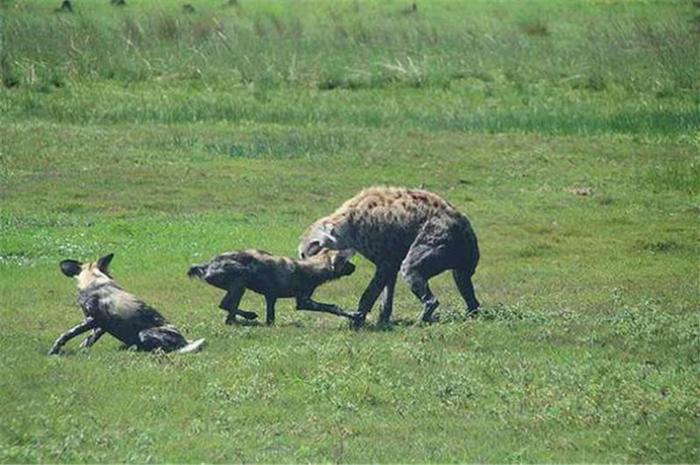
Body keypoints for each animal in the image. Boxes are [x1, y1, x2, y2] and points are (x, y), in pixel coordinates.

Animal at [50, 252, 205, 354]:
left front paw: (54, 350)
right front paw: (82, 351)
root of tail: (185, 341)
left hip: (144, 334)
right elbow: (88, 340)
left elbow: (66, 334)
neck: (93, 281)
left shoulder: (91, 320)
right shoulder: (100, 325)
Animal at [187, 248, 356, 324]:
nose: (355, 267)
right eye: (347, 262)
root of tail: (209, 264)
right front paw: (353, 314)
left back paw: (248, 317)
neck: (312, 267)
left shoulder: (271, 297)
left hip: (237, 286)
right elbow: (333, 307)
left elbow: (271, 317)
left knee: (225, 306)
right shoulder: (304, 302)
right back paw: (245, 319)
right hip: (240, 282)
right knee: (228, 312)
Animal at [298, 186, 478, 326]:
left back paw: (418, 323)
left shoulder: (385, 256)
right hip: (460, 262)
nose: (304, 271)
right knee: (466, 289)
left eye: (308, 251)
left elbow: (370, 293)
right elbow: (386, 294)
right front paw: (382, 320)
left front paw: (357, 321)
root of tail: (466, 229)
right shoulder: (391, 260)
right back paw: (471, 315)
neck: (349, 227)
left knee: (420, 281)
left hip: (435, 239)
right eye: (301, 254)